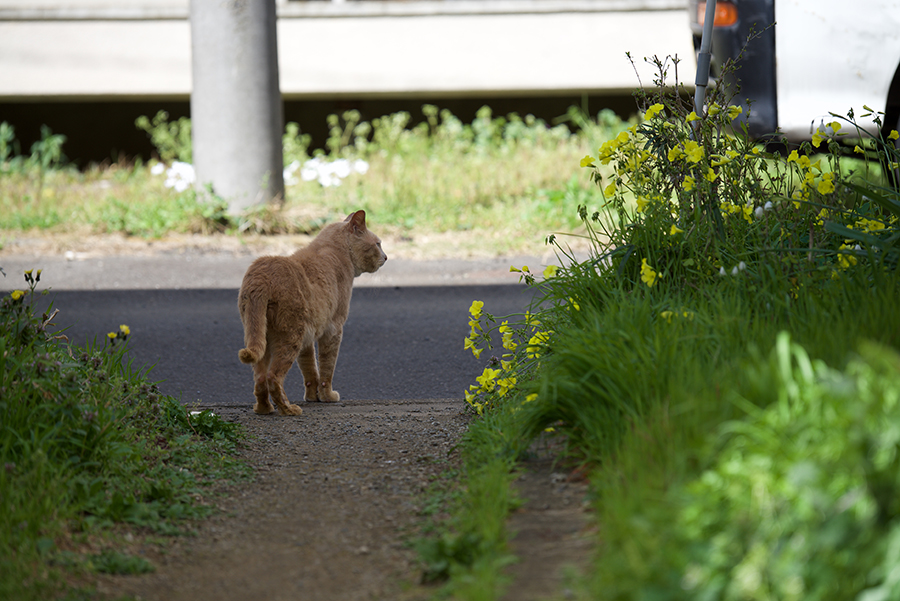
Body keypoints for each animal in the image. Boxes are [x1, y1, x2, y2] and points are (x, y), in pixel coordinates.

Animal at [236, 212, 386, 418]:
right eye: (378, 244)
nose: (386, 257)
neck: (333, 250)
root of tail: (261, 276)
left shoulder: (308, 337)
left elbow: (310, 369)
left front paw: (312, 397)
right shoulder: (334, 329)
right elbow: (326, 368)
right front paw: (328, 396)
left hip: (262, 336)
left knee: (260, 377)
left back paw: (264, 409)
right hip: (290, 336)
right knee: (273, 376)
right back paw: (288, 409)